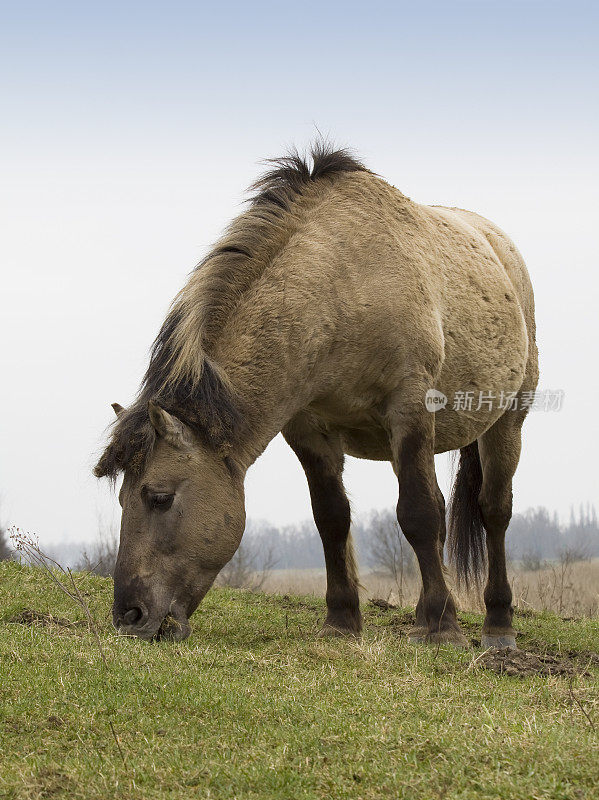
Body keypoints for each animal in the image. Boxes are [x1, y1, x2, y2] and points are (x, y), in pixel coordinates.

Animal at [95, 141, 540, 648]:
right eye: (122, 499)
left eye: (159, 497)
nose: (128, 616)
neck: (341, 286)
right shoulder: (308, 429)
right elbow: (332, 518)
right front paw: (342, 621)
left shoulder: (408, 411)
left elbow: (419, 513)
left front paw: (442, 627)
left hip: (507, 421)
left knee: (494, 511)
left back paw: (497, 625)